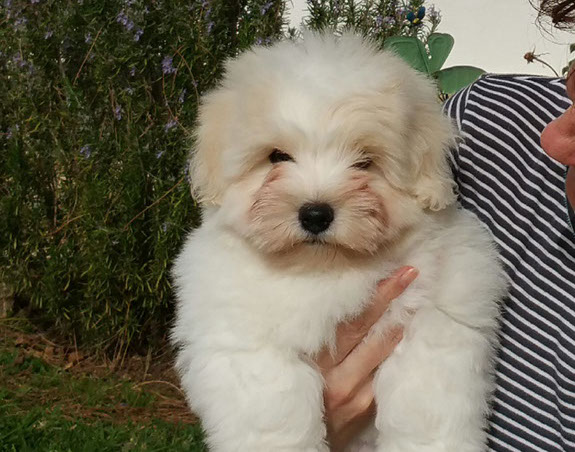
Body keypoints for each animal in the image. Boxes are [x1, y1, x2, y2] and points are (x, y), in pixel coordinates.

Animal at [171, 33, 506, 452]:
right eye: (277, 157)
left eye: (364, 162)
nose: (315, 214)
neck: (324, 270)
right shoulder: (241, 337)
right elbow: (273, 407)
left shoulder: (436, 314)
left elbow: (425, 400)